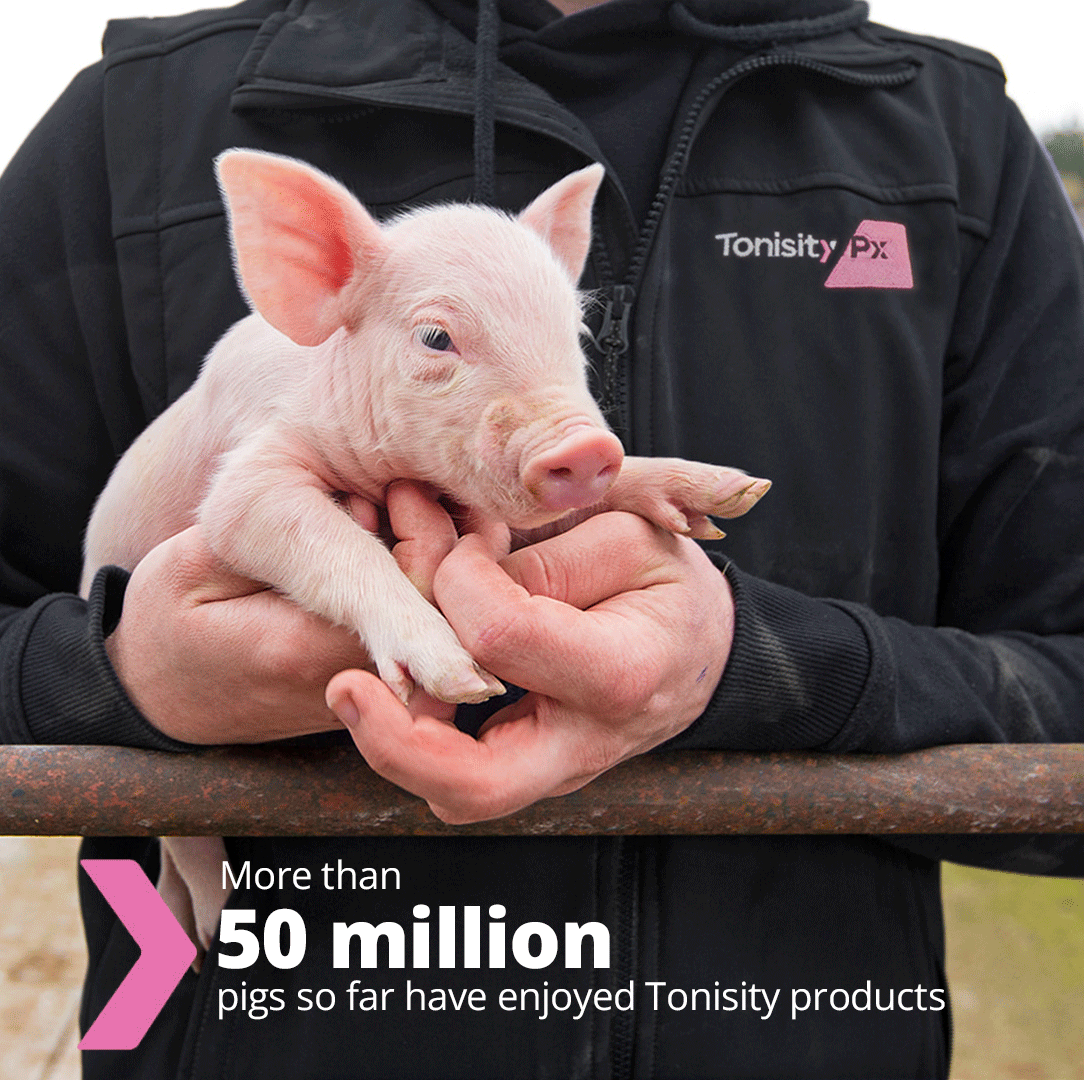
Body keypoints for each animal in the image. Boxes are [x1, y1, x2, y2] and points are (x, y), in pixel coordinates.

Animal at [81, 150, 770, 957]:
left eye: (575, 331)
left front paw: (727, 493)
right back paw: (205, 933)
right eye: (436, 338)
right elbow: (300, 531)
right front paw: (460, 680)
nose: (585, 448)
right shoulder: (246, 481)